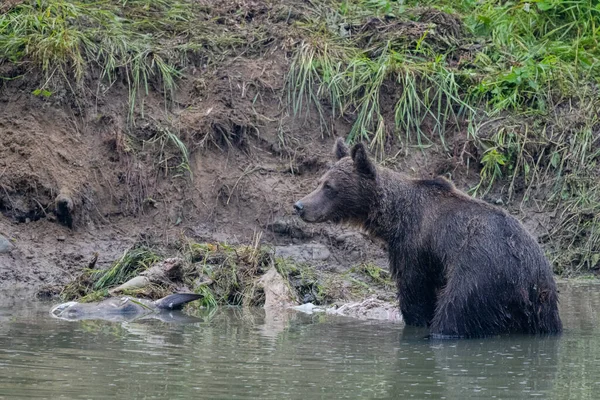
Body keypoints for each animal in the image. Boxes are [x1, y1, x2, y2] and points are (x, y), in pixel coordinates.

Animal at [296, 138, 564, 338]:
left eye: (329, 187)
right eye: (320, 182)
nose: (299, 206)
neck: (394, 217)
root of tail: (526, 275)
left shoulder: (414, 246)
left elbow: (415, 291)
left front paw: (415, 319)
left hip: (481, 274)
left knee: (454, 312)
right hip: (543, 302)